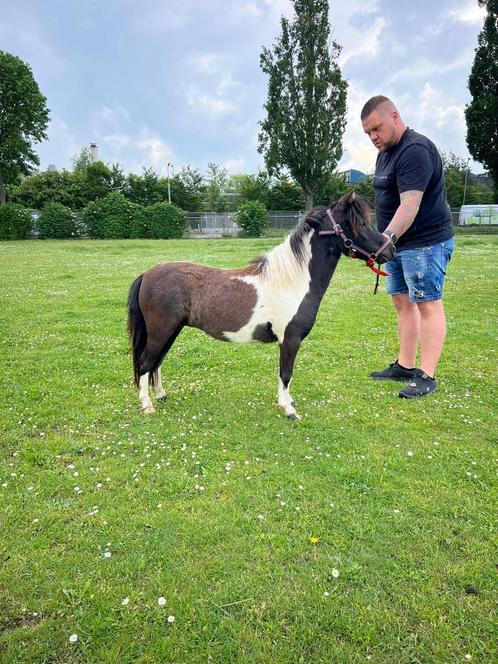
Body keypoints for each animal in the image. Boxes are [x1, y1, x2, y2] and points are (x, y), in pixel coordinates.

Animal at [127, 192, 392, 418]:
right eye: (359, 224)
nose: (390, 248)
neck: (291, 282)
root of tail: (147, 274)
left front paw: (288, 403)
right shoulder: (290, 340)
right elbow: (286, 374)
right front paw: (288, 409)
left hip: (171, 331)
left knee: (157, 362)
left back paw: (161, 395)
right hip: (161, 331)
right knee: (145, 363)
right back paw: (147, 405)